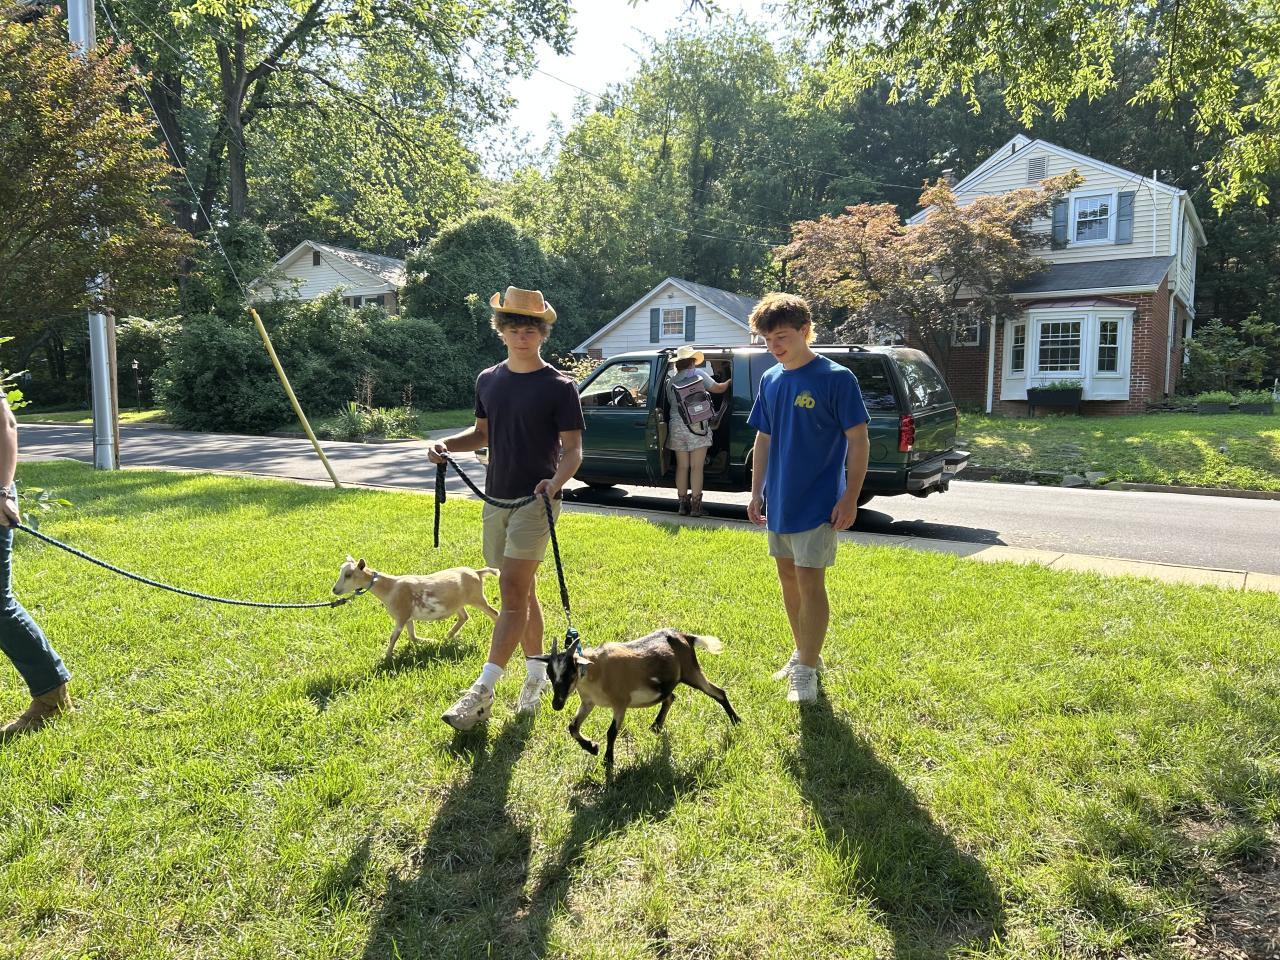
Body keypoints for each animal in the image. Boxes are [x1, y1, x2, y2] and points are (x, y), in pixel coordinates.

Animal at [332, 556, 499, 662]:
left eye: (348, 574)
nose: (334, 590)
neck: (390, 588)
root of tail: (477, 573)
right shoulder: (408, 617)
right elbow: (412, 637)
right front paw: (432, 641)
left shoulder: (401, 615)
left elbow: (393, 637)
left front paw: (386, 657)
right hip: (458, 603)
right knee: (464, 617)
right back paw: (447, 637)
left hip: (477, 598)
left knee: (494, 613)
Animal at [531, 627, 741, 767]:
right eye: (550, 674)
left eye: (569, 673)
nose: (557, 704)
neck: (595, 671)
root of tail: (685, 637)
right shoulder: (588, 702)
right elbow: (573, 727)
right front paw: (592, 747)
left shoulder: (620, 703)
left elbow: (611, 732)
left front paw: (608, 760)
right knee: (670, 697)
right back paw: (656, 726)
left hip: (692, 672)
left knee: (719, 692)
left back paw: (736, 721)